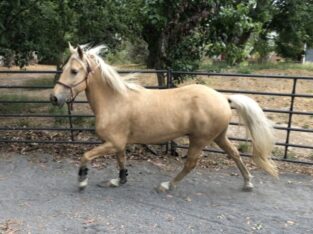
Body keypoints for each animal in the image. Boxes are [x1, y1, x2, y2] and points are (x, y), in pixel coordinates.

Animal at [50, 44, 276, 192]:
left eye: (74, 71)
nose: (54, 98)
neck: (115, 100)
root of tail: (223, 98)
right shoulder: (118, 143)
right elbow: (121, 161)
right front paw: (119, 181)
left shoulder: (112, 142)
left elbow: (86, 155)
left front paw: (82, 181)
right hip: (219, 137)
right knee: (235, 154)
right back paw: (247, 183)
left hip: (199, 139)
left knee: (191, 163)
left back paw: (167, 185)